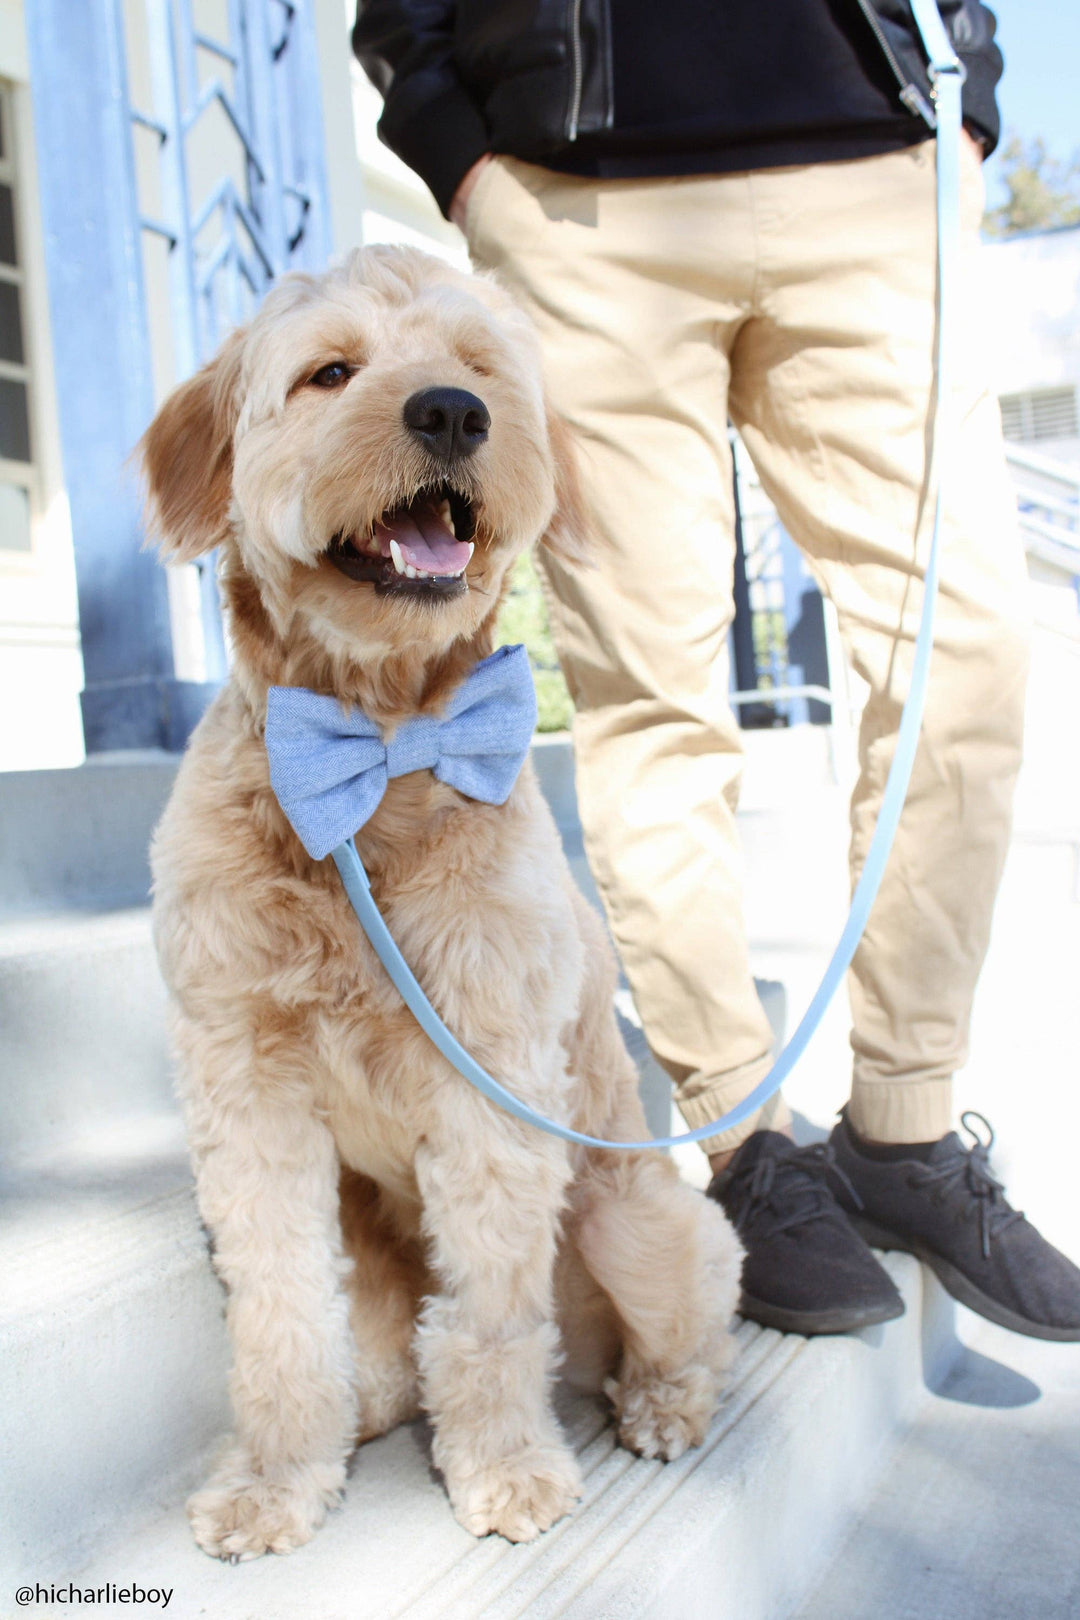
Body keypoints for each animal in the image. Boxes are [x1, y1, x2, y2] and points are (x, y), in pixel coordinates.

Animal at [143, 246, 744, 1561]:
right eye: (329, 373)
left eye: (479, 368)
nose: (454, 415)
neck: (372, 757)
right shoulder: (247, 1088)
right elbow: (278, 1315)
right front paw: (275, 1477)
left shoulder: (493, 1084)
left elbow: (493, 1321)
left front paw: (508, 1468)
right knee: (377, 1339)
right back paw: (366, 1406)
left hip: (638, 1221)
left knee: (671, 1330)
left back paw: (658, 1405)